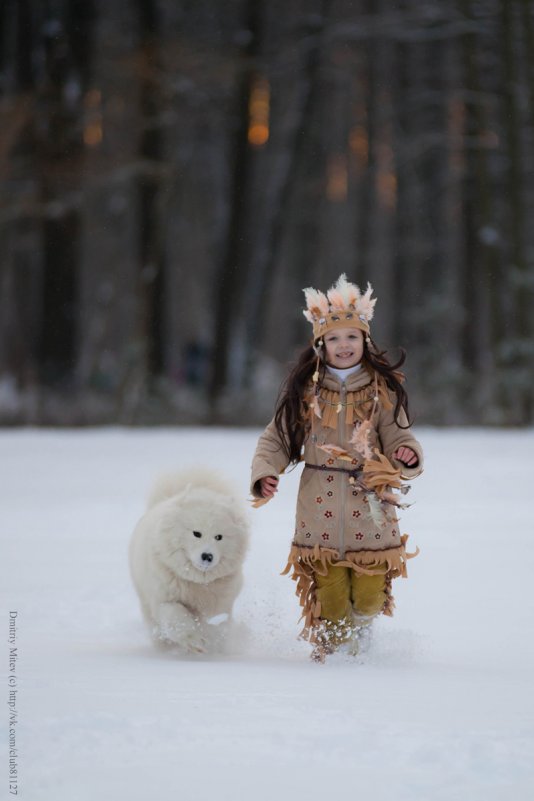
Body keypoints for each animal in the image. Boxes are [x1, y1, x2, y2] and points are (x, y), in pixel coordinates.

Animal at [130, 468, 249, 648]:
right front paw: (194, 641)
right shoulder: (162, 598)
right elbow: (176, 616)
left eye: (219, 537)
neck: (197, 583)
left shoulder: (220, 602)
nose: (207, 556)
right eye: (196, 533)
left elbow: (216, 622)